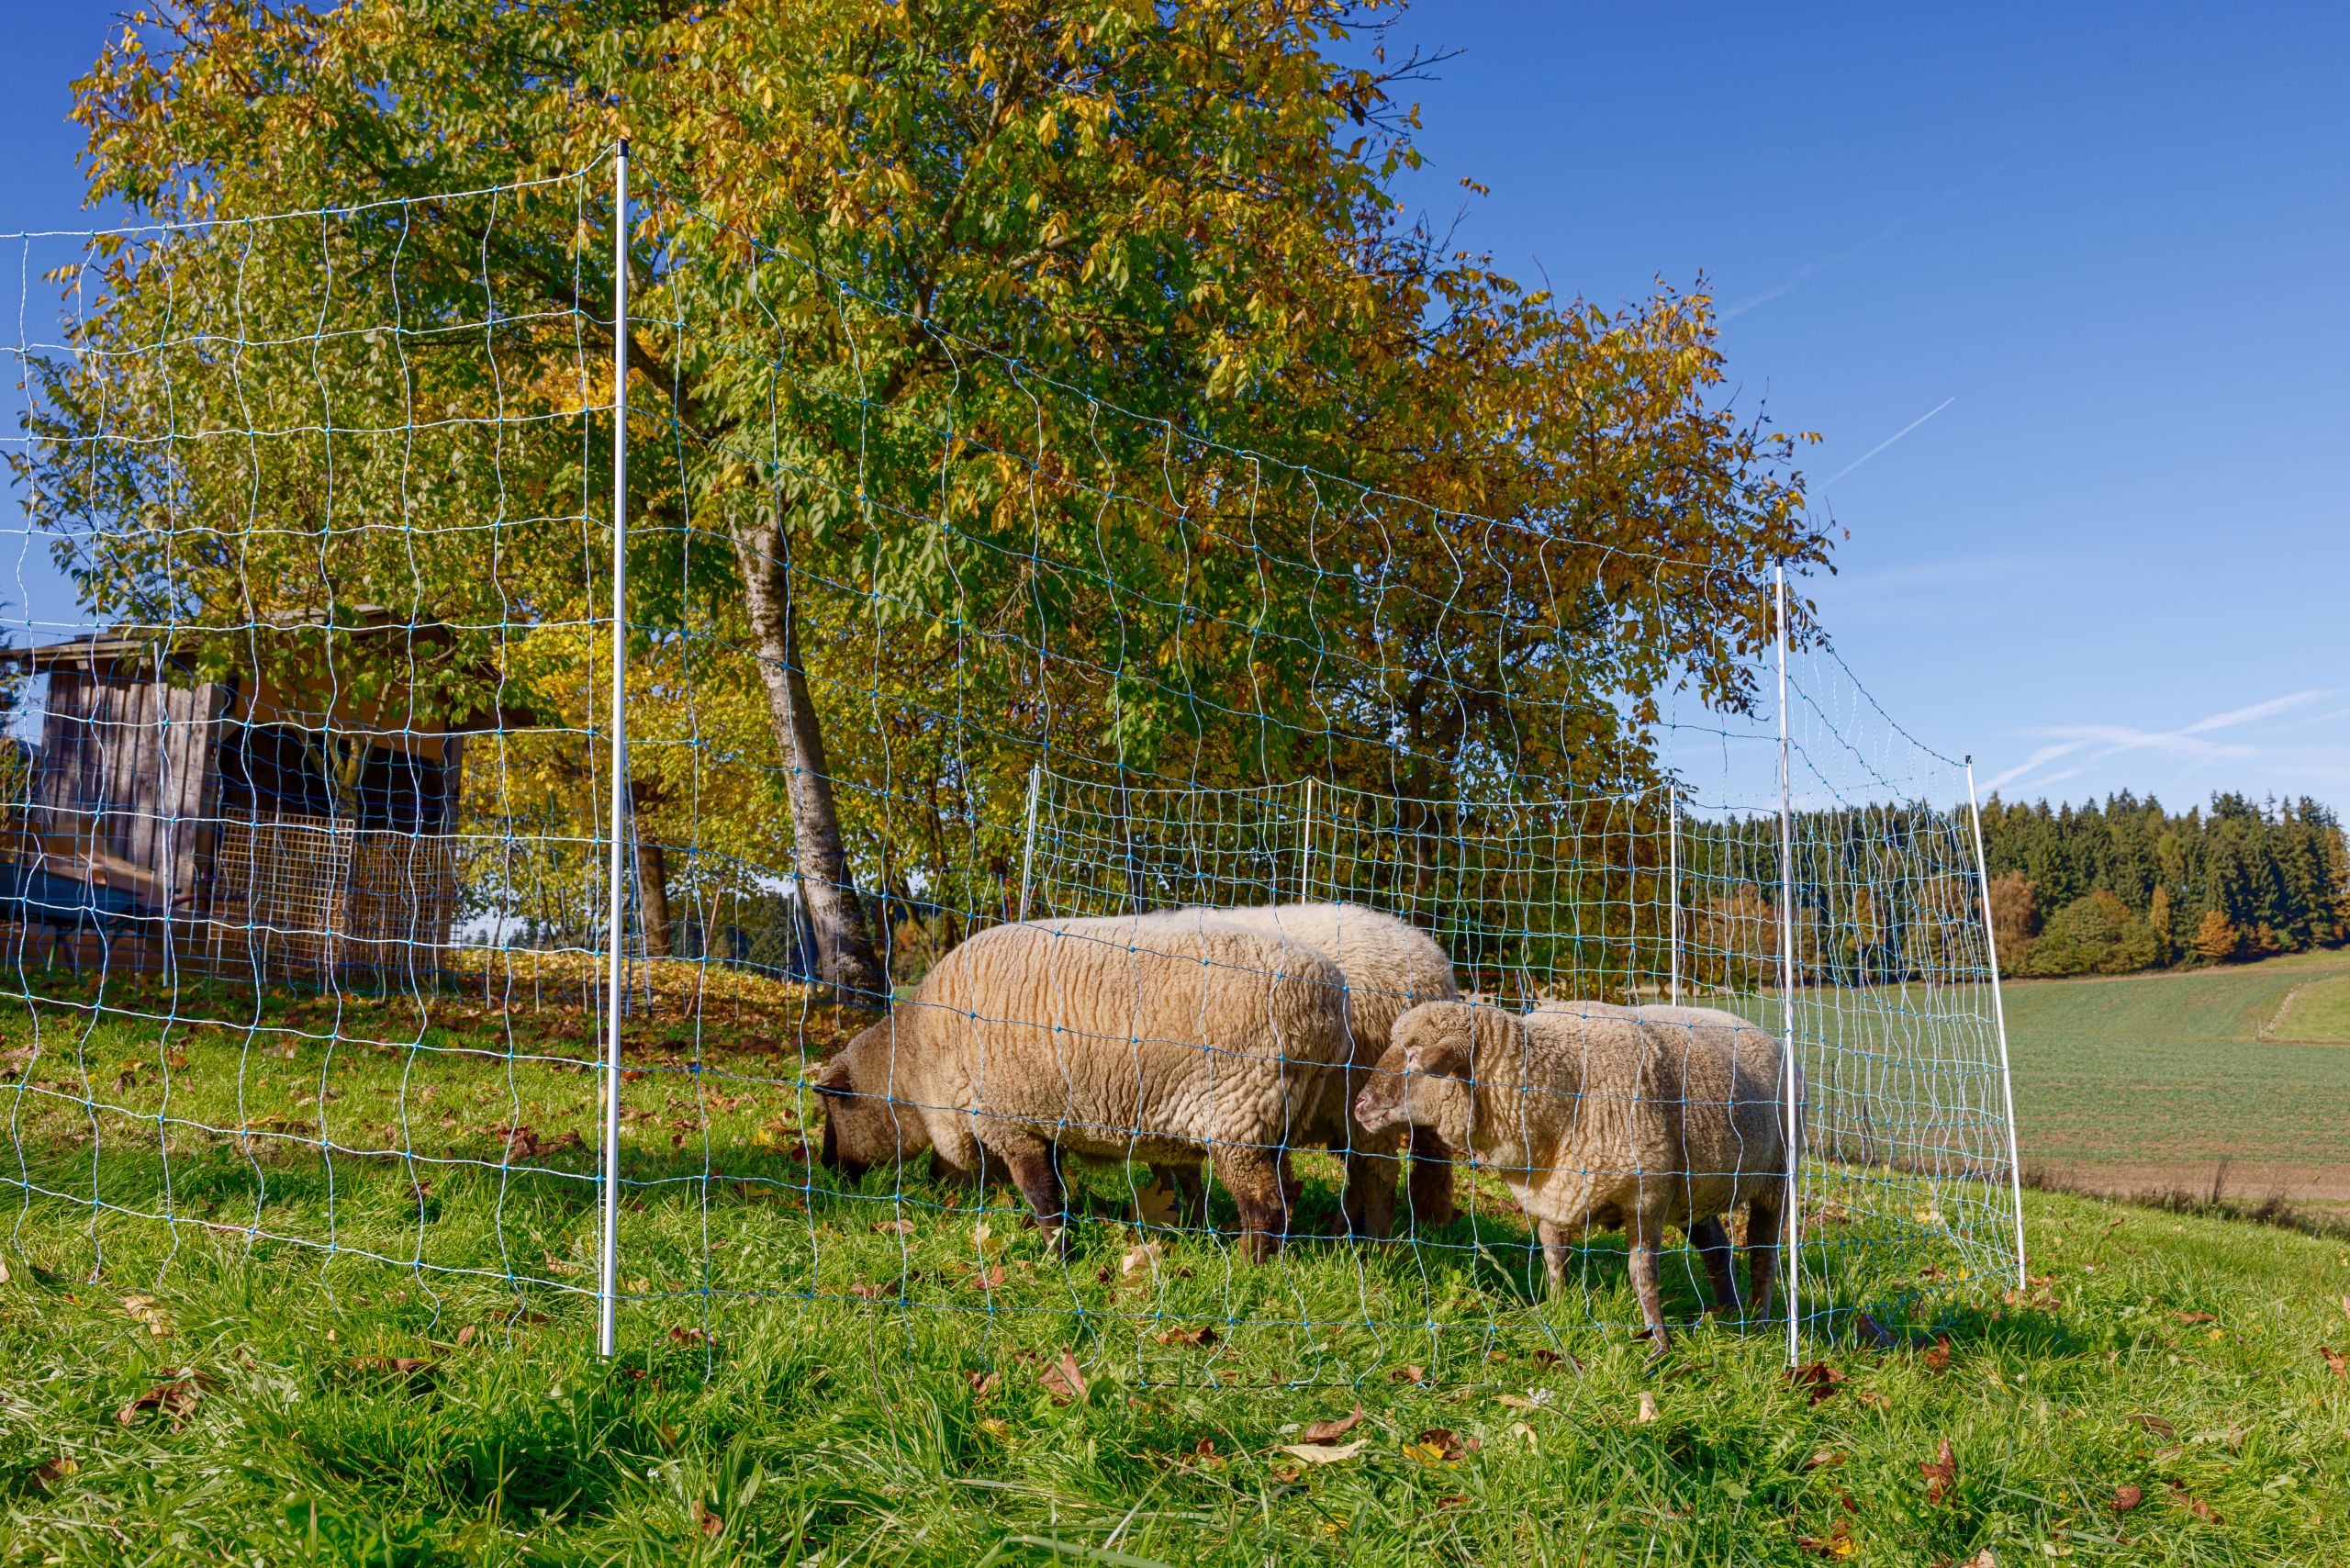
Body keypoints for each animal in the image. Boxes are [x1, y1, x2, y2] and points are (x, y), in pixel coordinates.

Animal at [815, 911, 1352, 1259]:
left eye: (833, 1110)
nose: (827, 1169)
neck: (914, 1058)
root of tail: (1332, 1004)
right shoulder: (1038, 1119)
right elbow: (1052, 1191)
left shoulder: (1009, 1121)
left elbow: (1042, 1197)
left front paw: (1057, 1255)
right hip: (1271, 1120)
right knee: (1285, 1195)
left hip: (1240, 1116)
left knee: (1265, 1206)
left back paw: (1247, 1268)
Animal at [1184, 902, 1460, 1236]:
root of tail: (1434, 963)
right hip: (1344, 1110)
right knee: (1360, 1172)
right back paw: (1340, 1232)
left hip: (1365, 1095)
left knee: (1379, 1172)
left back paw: (1375, 1239)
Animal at [1354, 999, 1791, 1349]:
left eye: (1414, 1057)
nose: (1359, 1104)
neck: (1558, 1082)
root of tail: (1749, 1025)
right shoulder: (1550, 1193)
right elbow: (1554, 1257)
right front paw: (1556, 1311)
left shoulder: (1647, 1197)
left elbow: (1643, 1273)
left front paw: (1659, 1344)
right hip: (1691, 1192)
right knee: (1716, 1245)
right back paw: (1728, 1312)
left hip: (1776, 1178)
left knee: (1763, 1254)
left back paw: (1760, 1322)